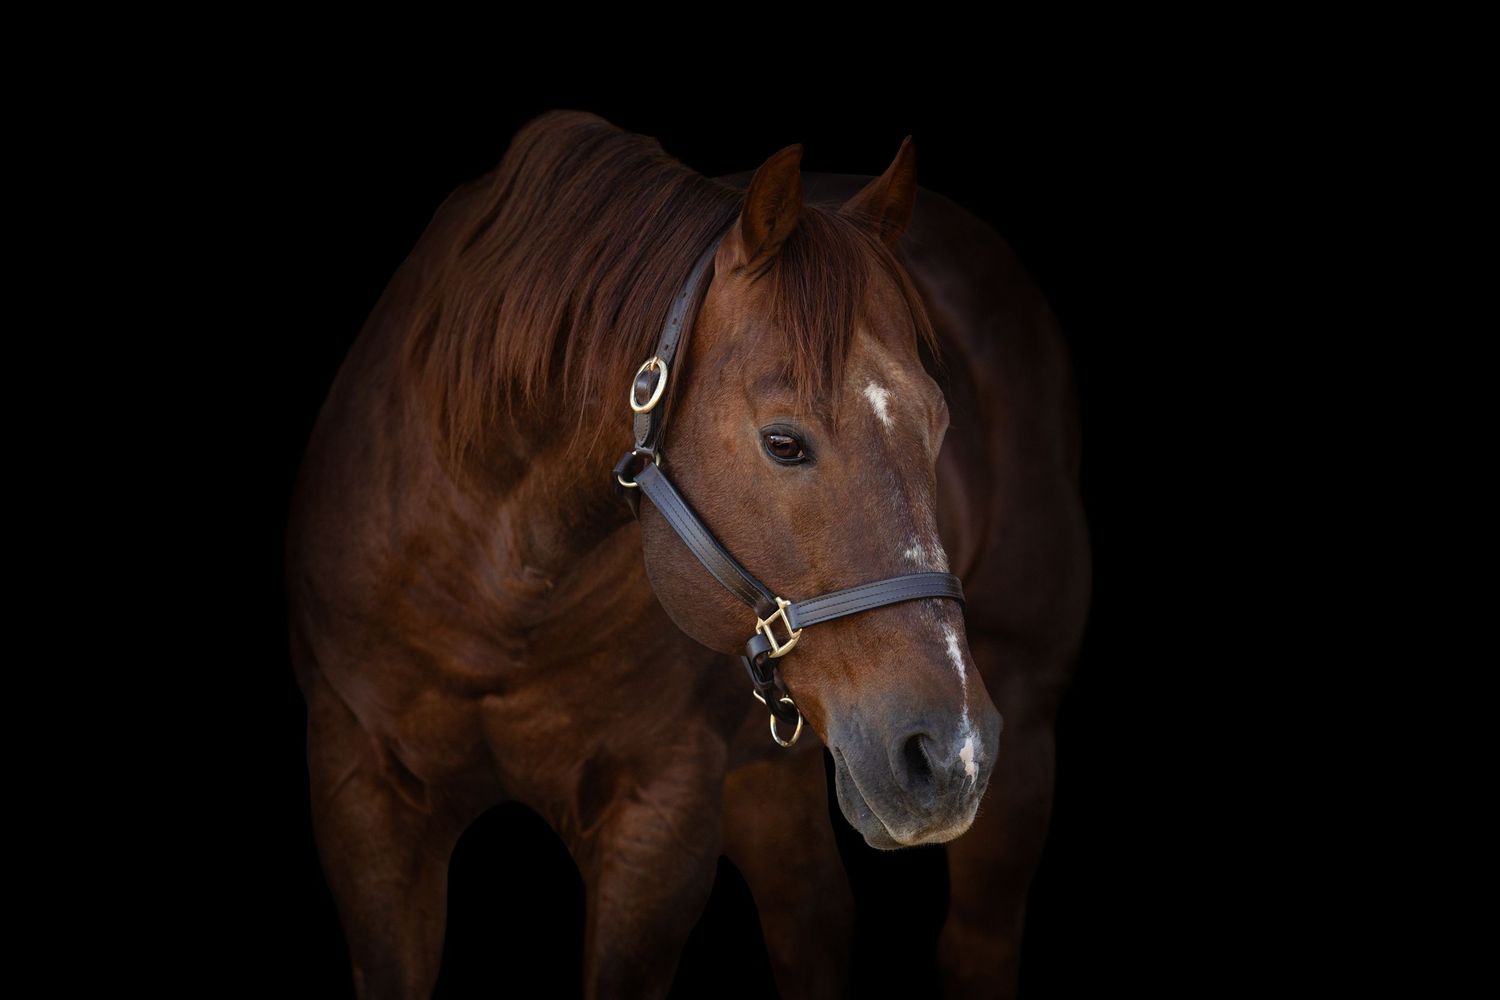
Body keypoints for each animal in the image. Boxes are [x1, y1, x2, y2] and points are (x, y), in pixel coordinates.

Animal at [285, 109, 1091, 998]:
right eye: (783, 443)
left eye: (940, 423)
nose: (953, 755)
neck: (494, 584)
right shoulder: (363, 798)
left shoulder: (658, 819)